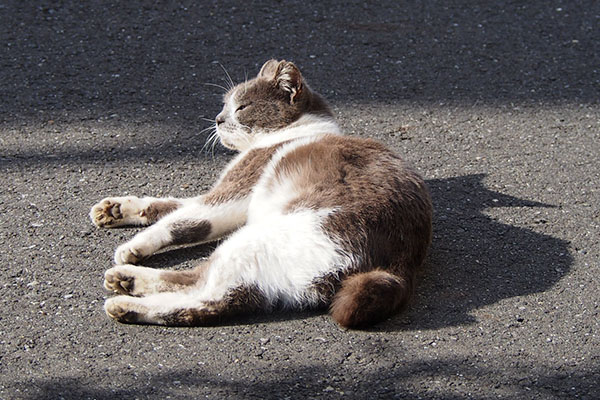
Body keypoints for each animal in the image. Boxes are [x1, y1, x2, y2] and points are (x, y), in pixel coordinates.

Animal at [91, 59, 432, 328]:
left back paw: (125, 295)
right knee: (216, 292)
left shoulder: (233, 191)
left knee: (206, 295)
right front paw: (115, 209)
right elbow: (168, 207)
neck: (300, 128)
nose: (218, 119)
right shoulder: (224, 198)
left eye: (241, 107)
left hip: (258, 238)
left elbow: (179, 223)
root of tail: (401, 265)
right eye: (224, 104)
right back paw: (126, 284)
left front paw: (131, 246)